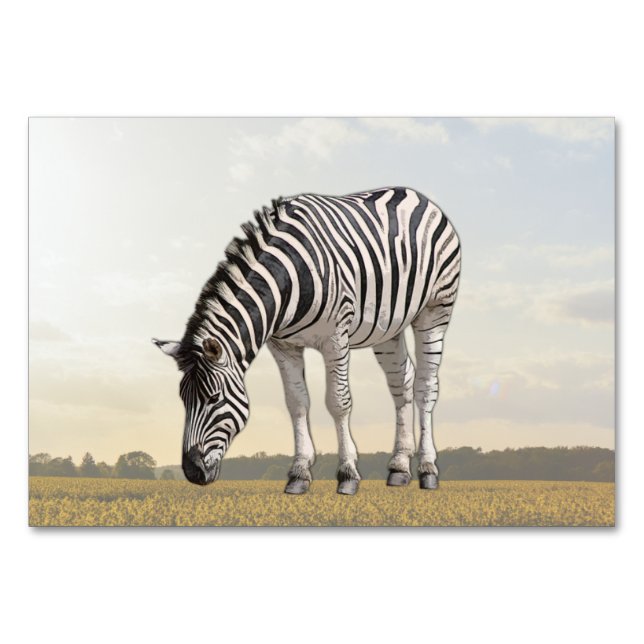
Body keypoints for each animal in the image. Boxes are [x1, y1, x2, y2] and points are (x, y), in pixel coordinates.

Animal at [153, 186, 461, 495]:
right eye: (183, 398)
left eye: (214, 398)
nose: (192, 472)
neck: (288, 279)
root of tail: (413, 193)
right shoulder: (283, 345)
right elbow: (296, 402)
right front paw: (299, 473)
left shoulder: (336, 337)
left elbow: (338, 402)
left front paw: (348, 473)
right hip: (388, 326)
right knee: (402, 382)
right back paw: (399, 467)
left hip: (436, 308)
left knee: (426, 386)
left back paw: (427, 469)